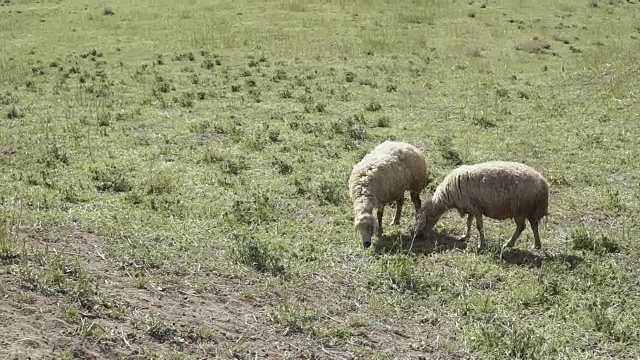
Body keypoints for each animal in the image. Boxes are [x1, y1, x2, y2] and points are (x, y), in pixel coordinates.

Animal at [416, 162, 552, 252]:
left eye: (424, 220)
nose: (419, 236)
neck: (448, 194)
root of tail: (544, 183)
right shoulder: (470, 207)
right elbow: (468, 222)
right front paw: (464, 237)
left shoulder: (475, 208)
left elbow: (479, 226)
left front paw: (481, 245)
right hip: (530, 209)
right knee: (534, 226)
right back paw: (537, 245)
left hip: (520, 209)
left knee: (522, 227)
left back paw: (508, 244)